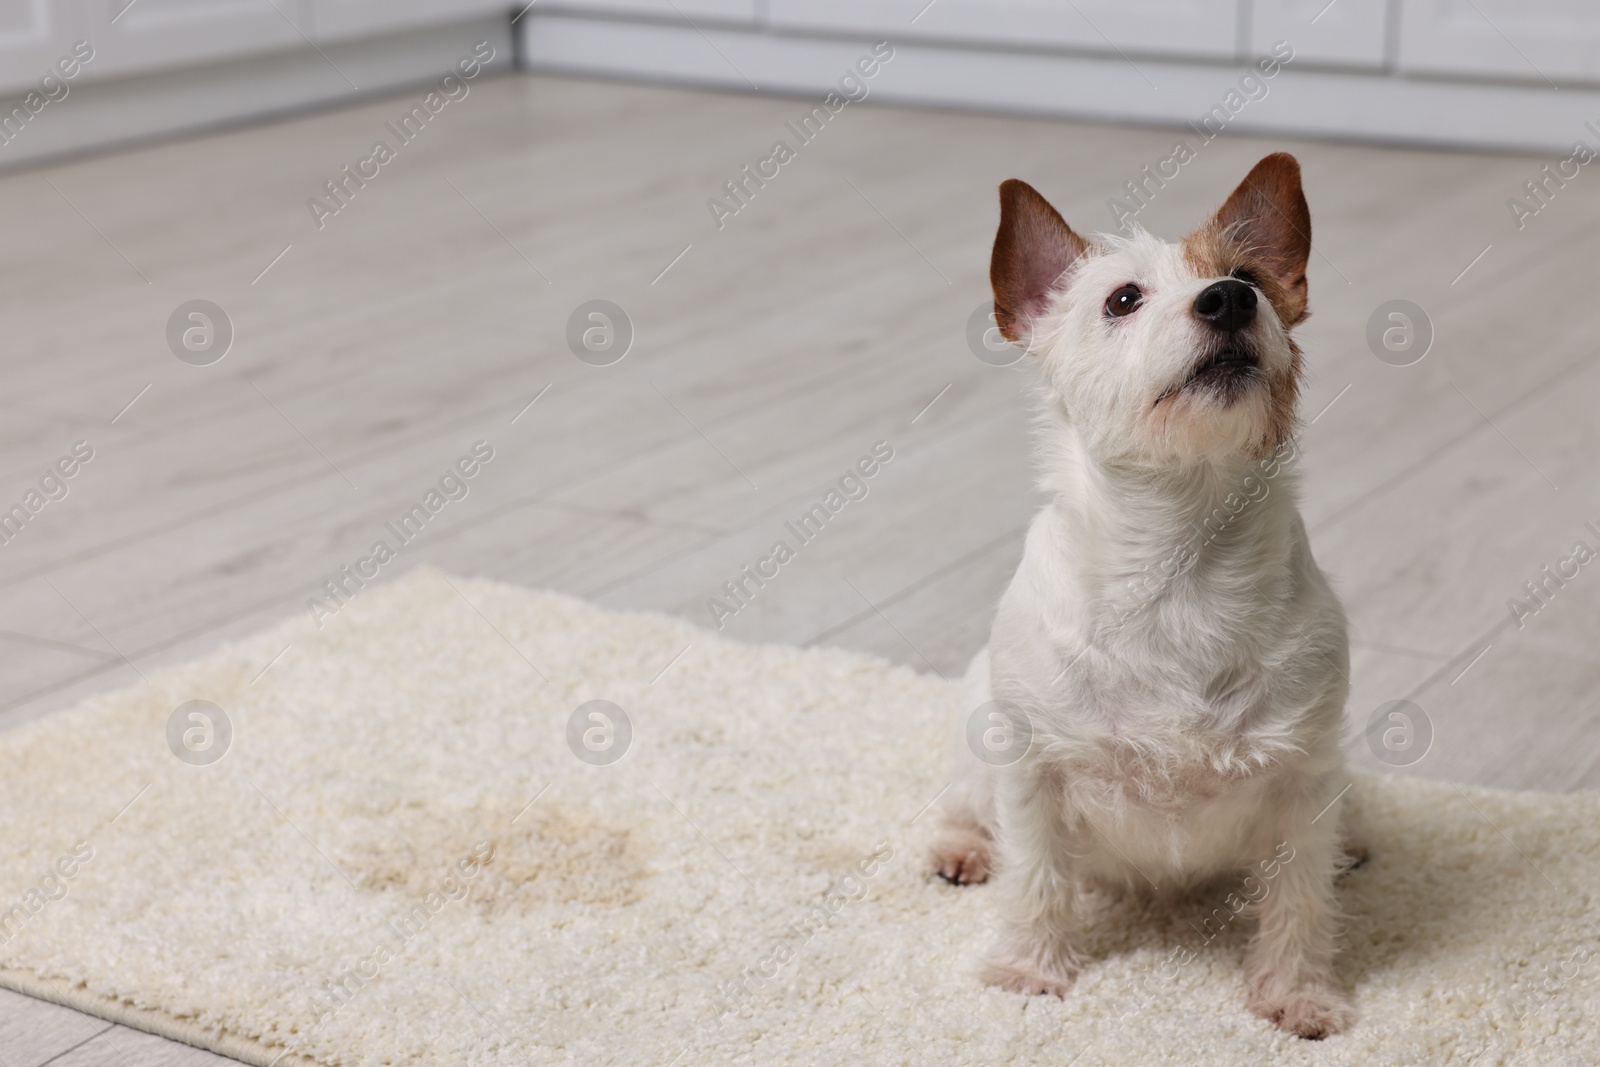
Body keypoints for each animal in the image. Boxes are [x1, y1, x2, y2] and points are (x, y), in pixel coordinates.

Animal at [934, 154, 1363, 1036]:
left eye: (1248, 277)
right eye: (1122, 299)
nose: (1229, 299)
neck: (1180, 562)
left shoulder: (1304, 778)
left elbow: (1299, 899)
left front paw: (1299, 992)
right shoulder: (1034, 772)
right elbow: (1036, 878)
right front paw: (1028, 970)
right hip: (974, 729)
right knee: (963, 802)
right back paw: (961, 847)